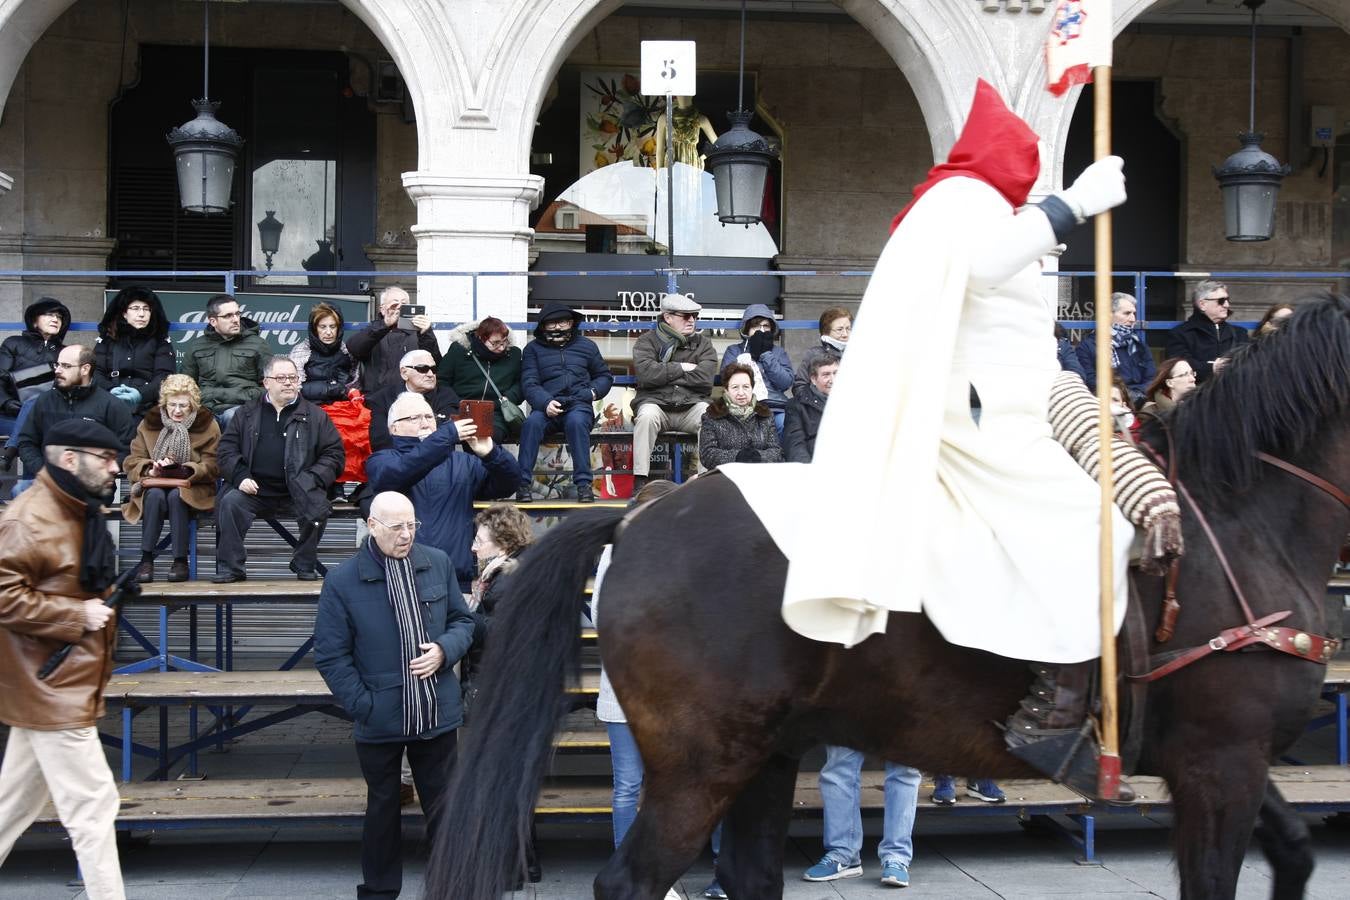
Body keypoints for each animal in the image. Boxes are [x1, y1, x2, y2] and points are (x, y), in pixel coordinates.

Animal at [434, 292, 1350, 895]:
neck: (1241, 519)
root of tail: (639, 514)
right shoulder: (1219, 765)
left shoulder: (1230, 760)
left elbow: (1297, 850)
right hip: (699, 768)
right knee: (632, 883)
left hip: (762, 757)